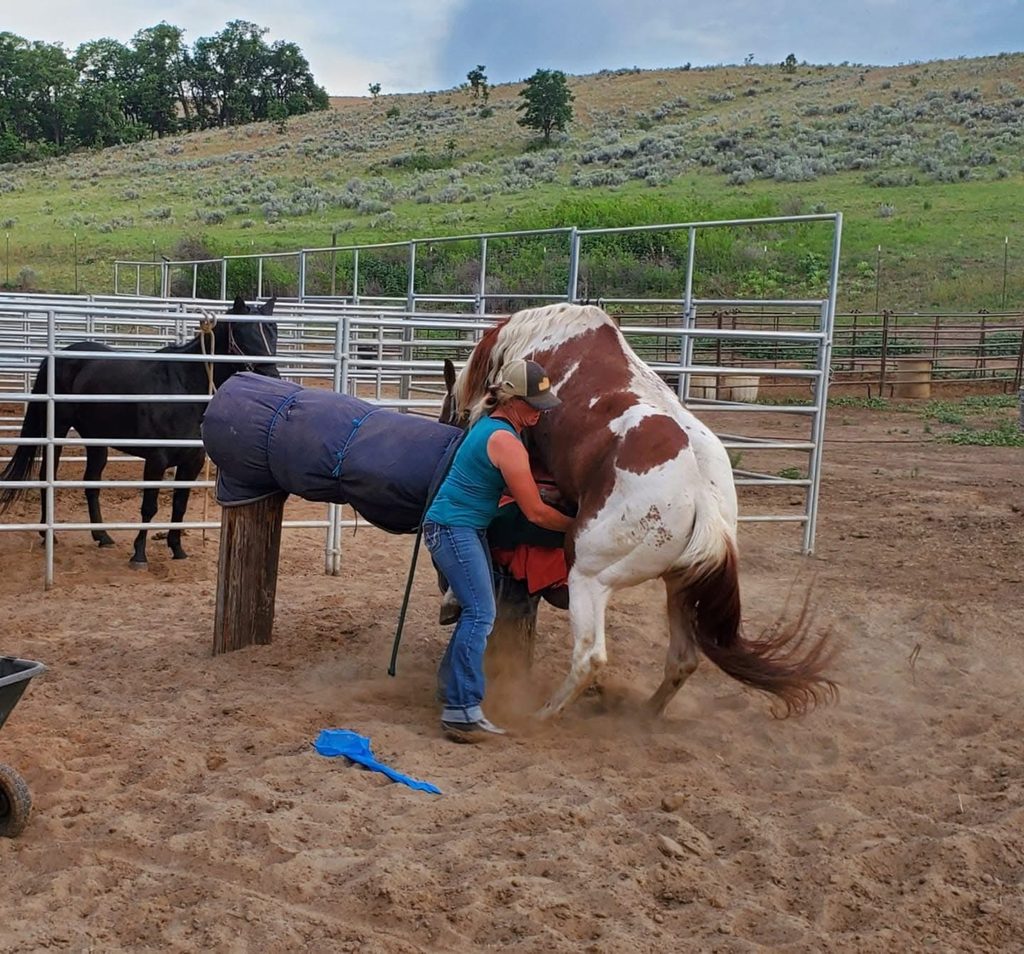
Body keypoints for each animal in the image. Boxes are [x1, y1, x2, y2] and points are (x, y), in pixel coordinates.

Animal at [0, 296, 279, 566]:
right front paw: (139, 554)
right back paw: (49, 535)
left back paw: (102, 536)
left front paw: (177, 549)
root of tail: (56, 357)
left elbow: (180, 505)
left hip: (96, 441)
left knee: (92, 483)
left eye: (273, 330)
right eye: (243, 332)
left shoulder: (192, 463)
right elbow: (149, 507)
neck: (183, 388)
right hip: (56, 431)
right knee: (48, 477)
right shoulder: (156, 460)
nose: (272, 376)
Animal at [441, 302, 836, 719]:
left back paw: (543, 715)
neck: (540, 342)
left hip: (589, 576)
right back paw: (646, 715)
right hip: (679, 585)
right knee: (682, 659)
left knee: (590, 657)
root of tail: (703, 502)